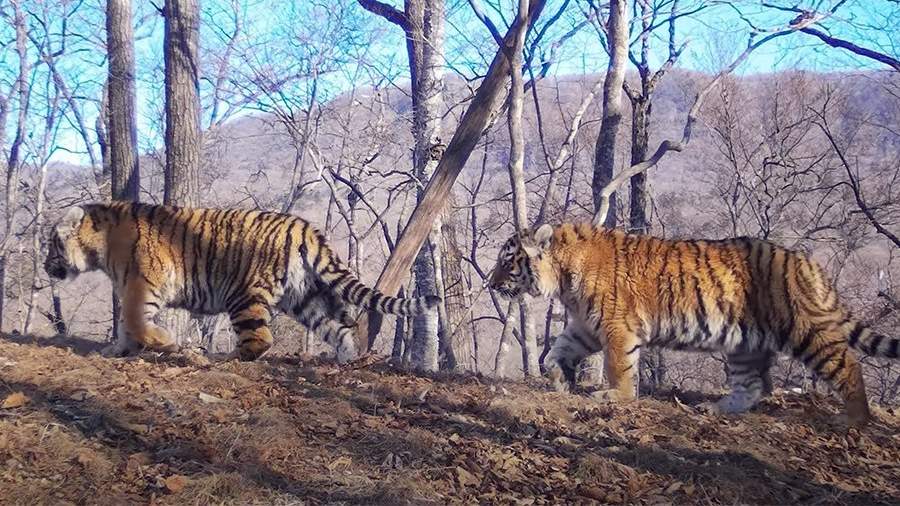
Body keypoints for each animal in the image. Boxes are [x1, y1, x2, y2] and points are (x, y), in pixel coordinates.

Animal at [44, 202, 440, 364]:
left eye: (51, 243)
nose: (47, 266)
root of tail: (302, 226)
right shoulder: (131, 289)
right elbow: (128, 327)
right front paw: (116, 350)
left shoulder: (139, 286)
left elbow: (137, 323)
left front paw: (167, 344)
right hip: (305, 297)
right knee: (340, 328)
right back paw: (345, 359)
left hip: (244, 295)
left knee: (260, 339)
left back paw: (223, 358)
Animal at [492, 222, 900, 426]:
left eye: (507, 261)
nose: (491, 284)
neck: (562, 274)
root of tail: (808, 263)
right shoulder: (586, 325)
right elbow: (556, 352)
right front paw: (560, 381)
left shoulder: (616, 326)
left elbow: (618, 367)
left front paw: (614, 397)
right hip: (744, 345)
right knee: (755, 386)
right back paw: (715, 409)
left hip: (805, 330)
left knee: (848, 365)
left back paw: (854, 419)